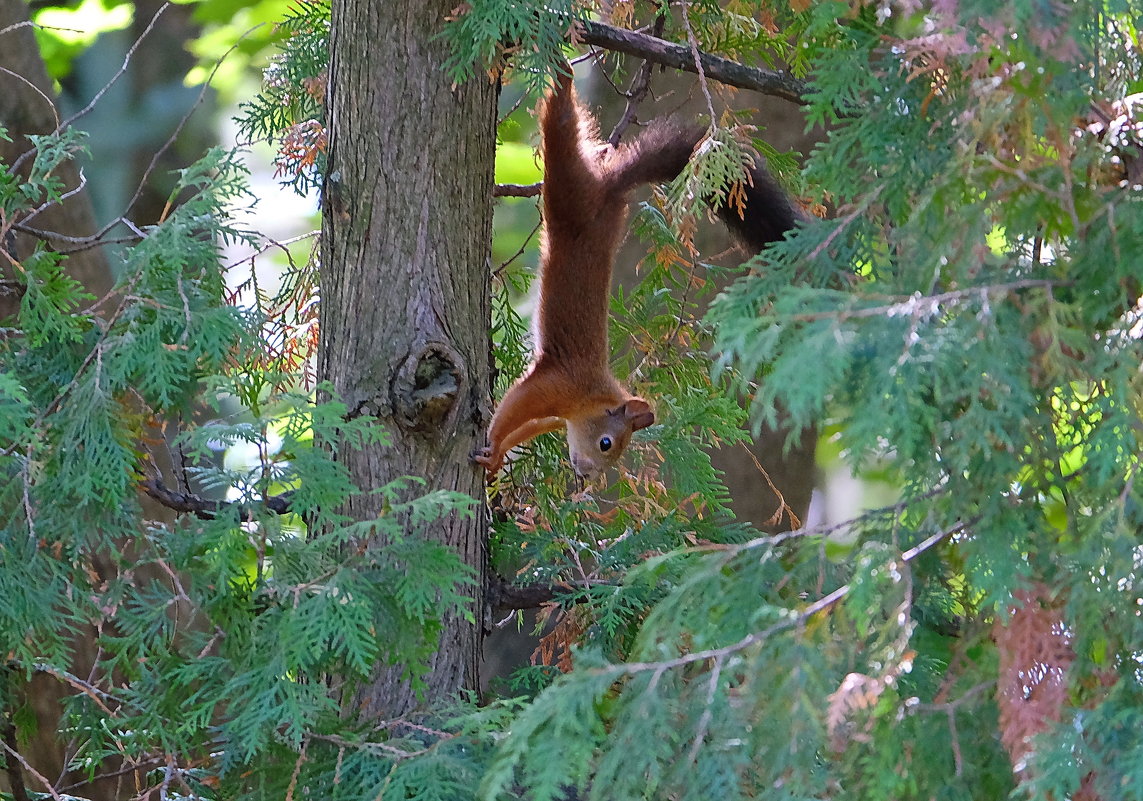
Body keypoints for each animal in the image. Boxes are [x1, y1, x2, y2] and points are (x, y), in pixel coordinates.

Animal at [475, 67, 804, 475]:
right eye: (606, 443)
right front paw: (491, 443)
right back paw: (561, 71)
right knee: (561, 123)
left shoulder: (558, 414)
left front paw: (498, 454)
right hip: (569, 191)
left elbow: (527, 427)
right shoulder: (556, 384)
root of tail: (609, 188)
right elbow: (513, 406)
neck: (592, 397)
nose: (587, 474)